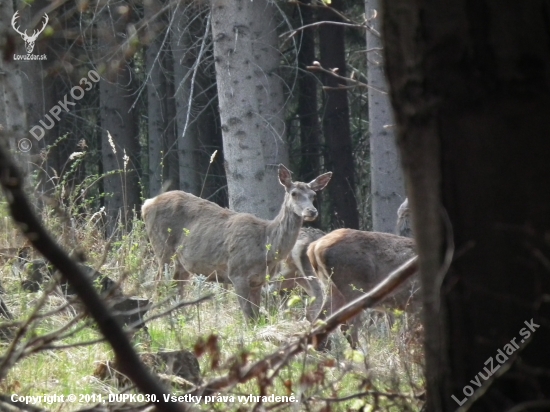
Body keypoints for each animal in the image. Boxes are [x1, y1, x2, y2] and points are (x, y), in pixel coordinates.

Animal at [142, 166, 332, 320]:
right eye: (294, 193)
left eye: (313, 195)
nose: (312, 211)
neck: (266, 245)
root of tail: (146, 204)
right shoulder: (237, 273)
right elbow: (248, 317)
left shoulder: (258, 281)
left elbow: (256, 317)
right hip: (162, 248)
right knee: (159, 284)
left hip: (181, 264)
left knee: (176, 289)